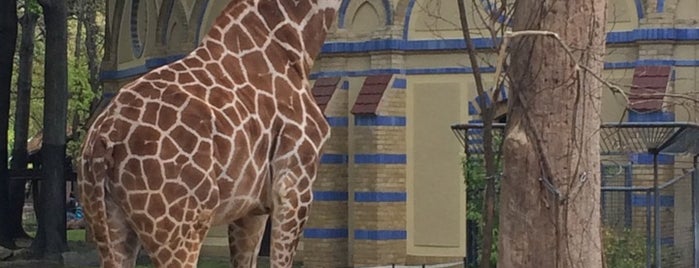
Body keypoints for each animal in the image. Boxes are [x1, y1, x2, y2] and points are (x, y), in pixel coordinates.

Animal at [78, 1, 342, 266]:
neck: (293, 41)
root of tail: (103, 138)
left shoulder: (251, 207)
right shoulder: (294, 184)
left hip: (109, 225)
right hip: (180, 226)